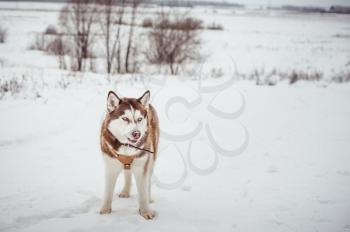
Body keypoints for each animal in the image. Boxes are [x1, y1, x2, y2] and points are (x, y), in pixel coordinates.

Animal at [98, 90, 159, 219]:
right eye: (125, 118)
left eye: (139, 119)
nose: (137, 133)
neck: (127, 146)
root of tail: (148, 105)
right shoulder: (111, 167)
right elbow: (108, 192)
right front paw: (105, 210)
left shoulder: (142, 167)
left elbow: (143, 192)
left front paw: (145, 211)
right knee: (127, 172)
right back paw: (125, 191)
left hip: (152, 158)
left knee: (148, 180)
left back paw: (149, 197)